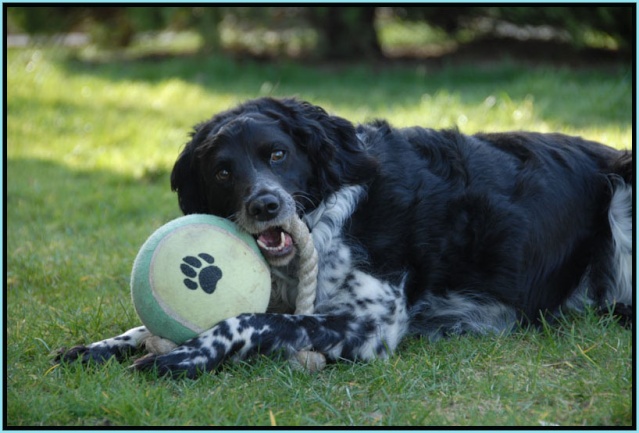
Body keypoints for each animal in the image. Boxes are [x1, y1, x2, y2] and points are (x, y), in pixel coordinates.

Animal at [56, 96, 636, 376]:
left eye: (277, 154)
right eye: (222, 171)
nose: (265, 205)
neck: (334, 209)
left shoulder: (370, 323)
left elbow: (250, 320)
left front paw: (183, 358)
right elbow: (144, 326)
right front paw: (100, 347)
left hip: (622, 190)